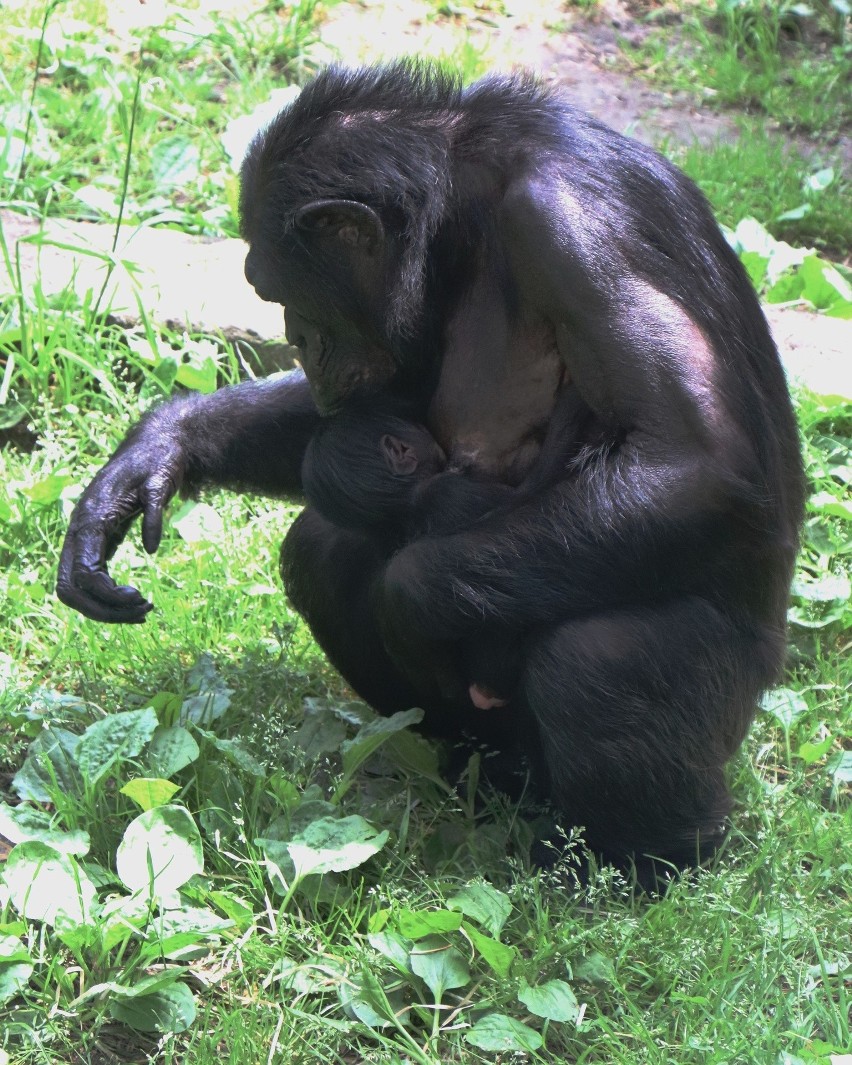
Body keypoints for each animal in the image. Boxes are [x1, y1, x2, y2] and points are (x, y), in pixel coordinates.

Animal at [58, 64, 805, 881]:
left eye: (275, 290)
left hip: (729, 704)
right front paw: (149, 459)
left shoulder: (572, 230)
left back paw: (646, 863)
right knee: (325, 549)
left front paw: (407, 602)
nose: (295, 338)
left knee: (600, 660)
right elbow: (380, 416)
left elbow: (692, 457)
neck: (465, 213)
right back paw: (475, 774)